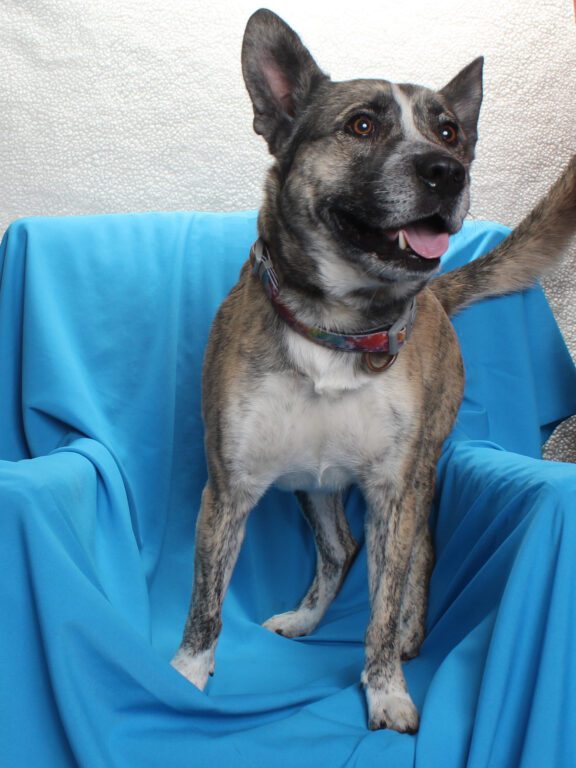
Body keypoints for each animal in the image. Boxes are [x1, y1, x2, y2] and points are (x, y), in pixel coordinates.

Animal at [171, 8, 576, 733]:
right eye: (362, 125)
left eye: (449, 131)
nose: (448, 172)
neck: (340, 328)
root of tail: (437, 295)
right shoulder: (228, 489)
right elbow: (205, 604)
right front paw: (184, 677)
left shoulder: (392, 490)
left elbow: (382, 607)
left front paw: (385, 688)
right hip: (311, 483)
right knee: (340, 548)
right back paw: (306, 619)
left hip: (420, 469)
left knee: (419, 554)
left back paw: (413, 630)